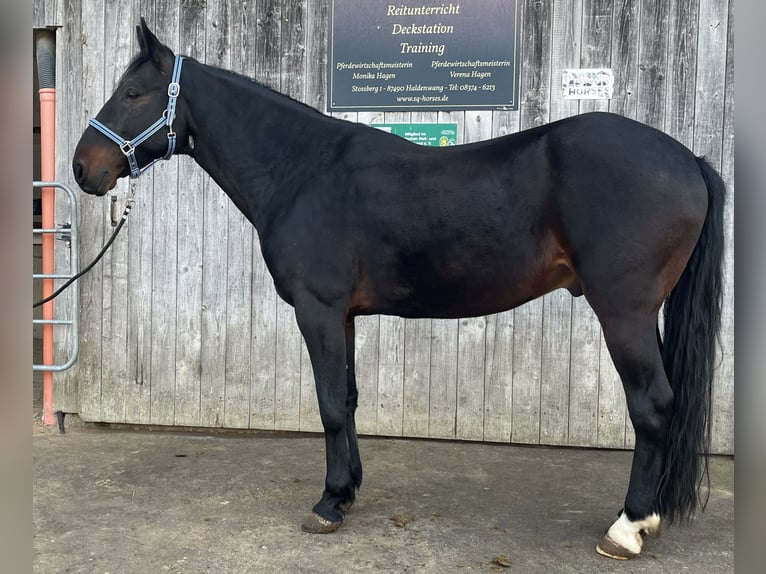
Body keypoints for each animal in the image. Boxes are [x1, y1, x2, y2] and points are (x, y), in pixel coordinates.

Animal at [73, 20, 728, 560]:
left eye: (133, 94)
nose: (83, 168)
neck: (303, 169)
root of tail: (687, 159)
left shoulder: (317, 311)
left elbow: (328, 404)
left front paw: (327, 504)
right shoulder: (344, 316)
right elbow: (348, 399)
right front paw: (347, 492)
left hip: (624, 313)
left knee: (652, 405)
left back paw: (629, 526)